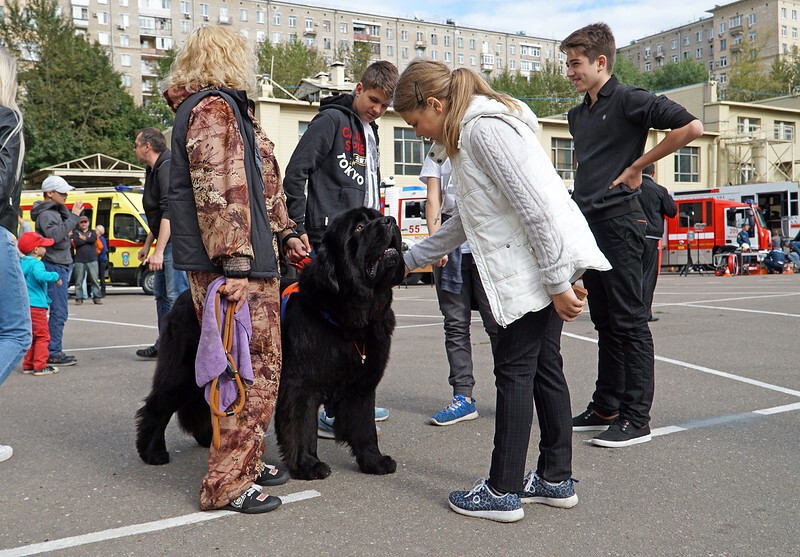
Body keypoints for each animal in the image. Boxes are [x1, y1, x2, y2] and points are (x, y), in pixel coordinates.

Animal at [137, 206, 406, 480]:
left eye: (377, 217)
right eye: (359, 228)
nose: (390, 220)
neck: (350, 321)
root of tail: (183, 300)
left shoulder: (362, 384)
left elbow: (365, 428)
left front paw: (374, 461)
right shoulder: (301, 385)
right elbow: (302, 427)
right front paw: (308, 464)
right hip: (183, 373)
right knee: (157, 407)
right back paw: (153, 452)